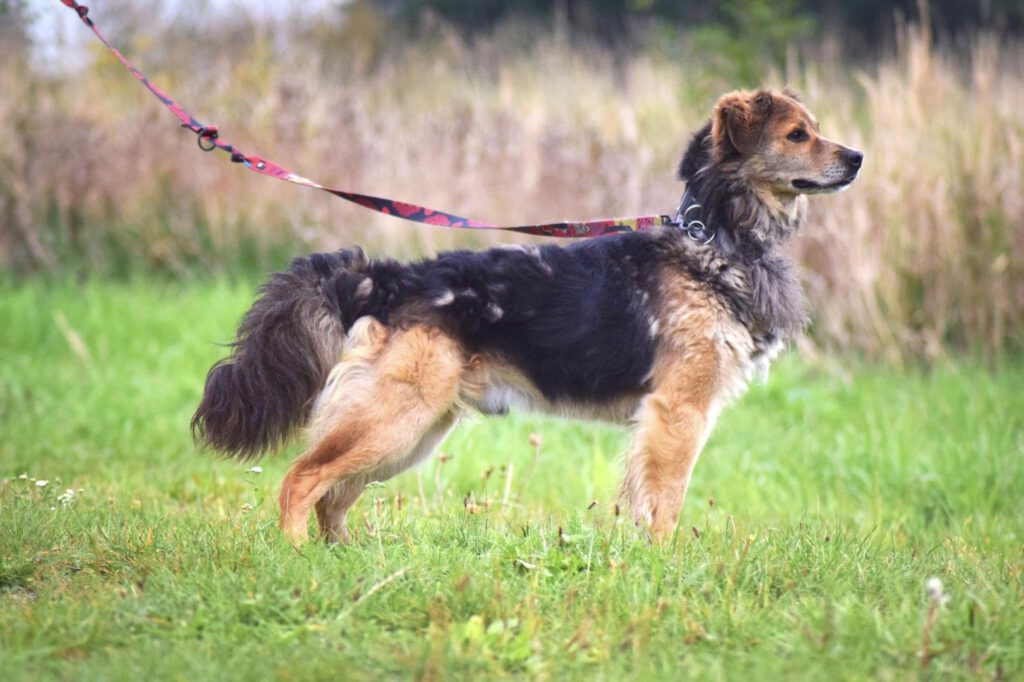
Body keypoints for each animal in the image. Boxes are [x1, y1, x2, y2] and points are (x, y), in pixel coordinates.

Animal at [188, 87, 860, 540]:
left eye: (815, 129)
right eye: (798, 135)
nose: (856, 157)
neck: (715, 236)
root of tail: (381, 278)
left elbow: (647, 501)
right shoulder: (679, 411)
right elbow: (666, 505)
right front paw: (666, 571)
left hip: (413, 431)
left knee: (332, 497)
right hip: (395, 415)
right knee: (300, 481)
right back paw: (298, 560)